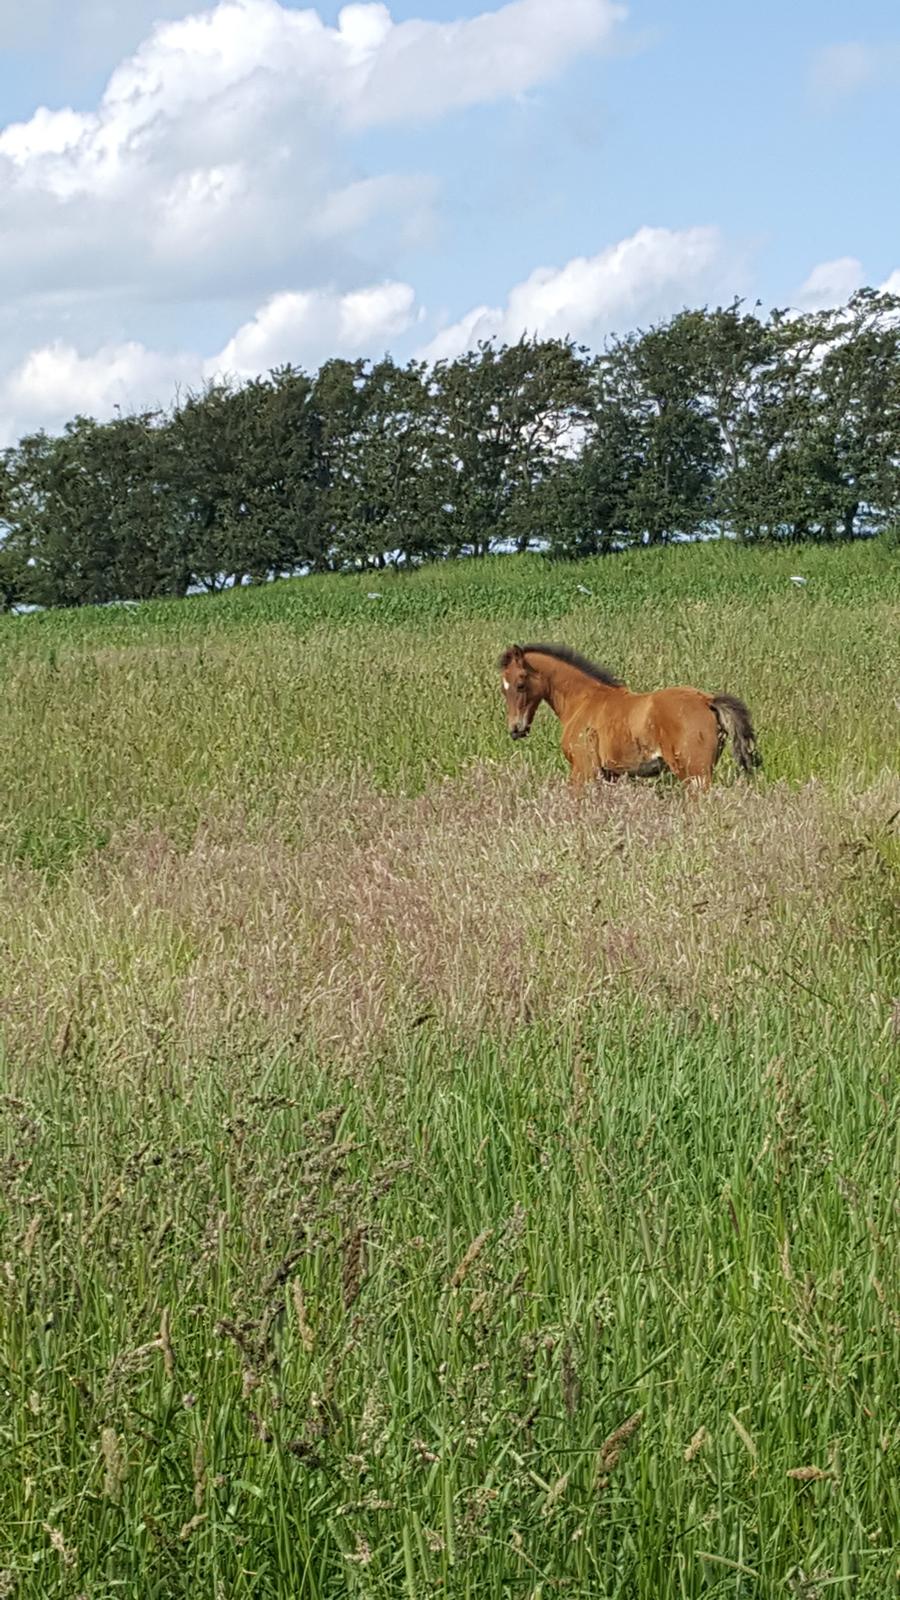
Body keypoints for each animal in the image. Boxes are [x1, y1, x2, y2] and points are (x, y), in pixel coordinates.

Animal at [496, 636, 755, 787]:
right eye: (503, 688)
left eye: (520, 684)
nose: (515, 729)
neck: (583, 700)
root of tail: (707, 699)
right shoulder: (611, 774)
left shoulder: (583, 769)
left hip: (694, 772)